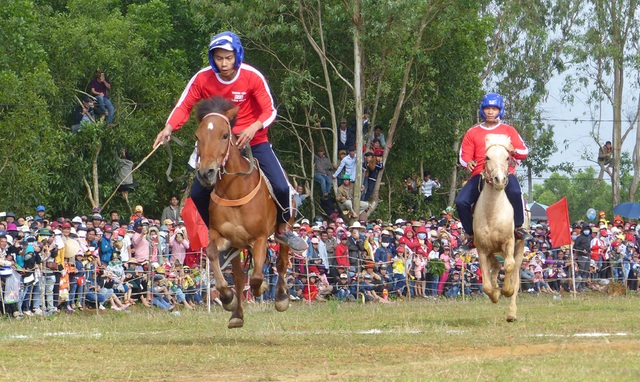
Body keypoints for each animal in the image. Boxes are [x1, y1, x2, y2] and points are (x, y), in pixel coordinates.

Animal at [194, 96, 292, 328]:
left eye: (224, 135)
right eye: (198, 136)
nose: (206, 173)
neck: (234, 190)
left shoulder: (261, 238)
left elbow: (256, 277)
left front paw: (263, 288)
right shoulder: (221, 236)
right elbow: (212, 253)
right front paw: (227, 297)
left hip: (283, 226)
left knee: (282, 262)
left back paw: (281, 297)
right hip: (237, 246)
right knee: (239, 276)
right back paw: (236, 314)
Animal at [476, 134, 524, 322]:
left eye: (507, 157)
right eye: (487, 157)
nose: (499, 180)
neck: (493, 212)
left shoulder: (509, 242)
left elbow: (509, 267)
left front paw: (506, 290)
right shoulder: (482, 249)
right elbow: (486, 285)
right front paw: (496, 293)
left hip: (519, 247)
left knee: (516, 275)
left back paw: (511, 313)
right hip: (492, 249)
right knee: (495, 265)